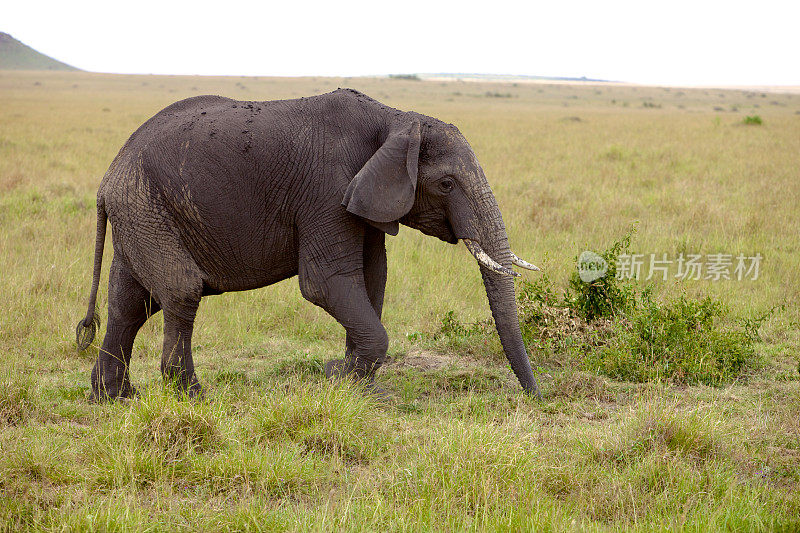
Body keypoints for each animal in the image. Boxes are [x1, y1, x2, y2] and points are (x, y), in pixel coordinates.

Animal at [75, 89, 540, 402]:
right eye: (446, 184)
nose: (536, 397)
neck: (395, 118)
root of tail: (107, 178)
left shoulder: (362, 196)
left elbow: (373, 279)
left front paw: (354, 383)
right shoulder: (327, 189)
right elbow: (326, 282)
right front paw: (339, 378)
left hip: (142, 210)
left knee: (131, 302)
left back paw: (113, 398)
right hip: (146, 207)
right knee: (180, 291)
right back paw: (191, 397)